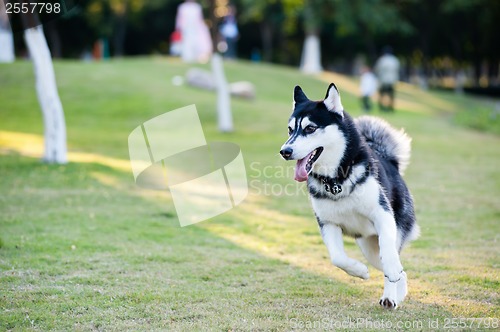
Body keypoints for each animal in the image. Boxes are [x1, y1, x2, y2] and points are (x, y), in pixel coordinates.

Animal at [282, 82, 418, 308]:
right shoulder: (328, 223)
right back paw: (397, 294)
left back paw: (390, 296)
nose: (285, 151)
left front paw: (389, 273)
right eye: (290, 129)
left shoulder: (382, 213)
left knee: (394, 263)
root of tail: (390, 162)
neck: (336, 181)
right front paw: (359, 271)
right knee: (402, 271)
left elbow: (389, 254)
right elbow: (337, 258)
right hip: (368, 247)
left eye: (310, 128)